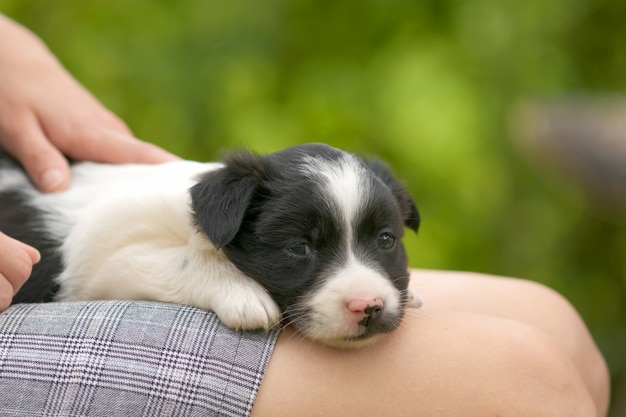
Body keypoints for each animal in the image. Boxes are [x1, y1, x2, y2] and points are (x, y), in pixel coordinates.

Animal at [1, 144, 420, 348]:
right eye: (299, 248)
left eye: (386, 240)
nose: (369, 306)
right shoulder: (108, 258)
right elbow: (184, 261)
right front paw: (243, 294)